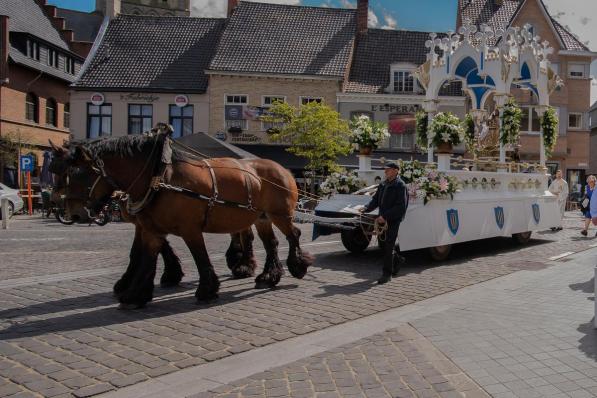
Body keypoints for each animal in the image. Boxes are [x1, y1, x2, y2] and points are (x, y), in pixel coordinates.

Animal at [58, 126, 314, 308]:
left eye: (81, 174)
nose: (75, 213)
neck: (160, 177)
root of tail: (283, 169)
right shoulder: (150, 228)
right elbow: (144, 257)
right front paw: (135, 293)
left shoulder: (190, 228)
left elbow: (199, 256)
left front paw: (206, 290)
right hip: (262, 217)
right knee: (271, 243)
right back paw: (268, 276)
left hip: (280, 214)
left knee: (293, 235)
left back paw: (296, 266)